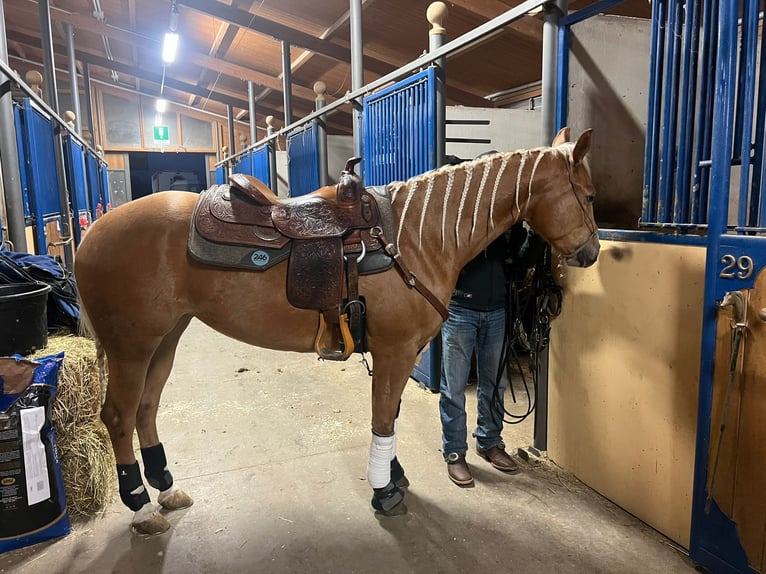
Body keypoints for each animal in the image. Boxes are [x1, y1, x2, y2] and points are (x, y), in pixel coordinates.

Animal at [74, 127, 600, 535]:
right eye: (590, 195)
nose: (591, 252)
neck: (416, 237)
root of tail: (93, 232)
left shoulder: (400, 353)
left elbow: (391, 414)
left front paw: (394, 476)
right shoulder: (395, 352)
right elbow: (384, 420)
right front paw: (384, 491)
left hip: (165, 340)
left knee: (146, 409)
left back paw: (166, 490)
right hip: (131, 347)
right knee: (118, 415)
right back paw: (141, 508)